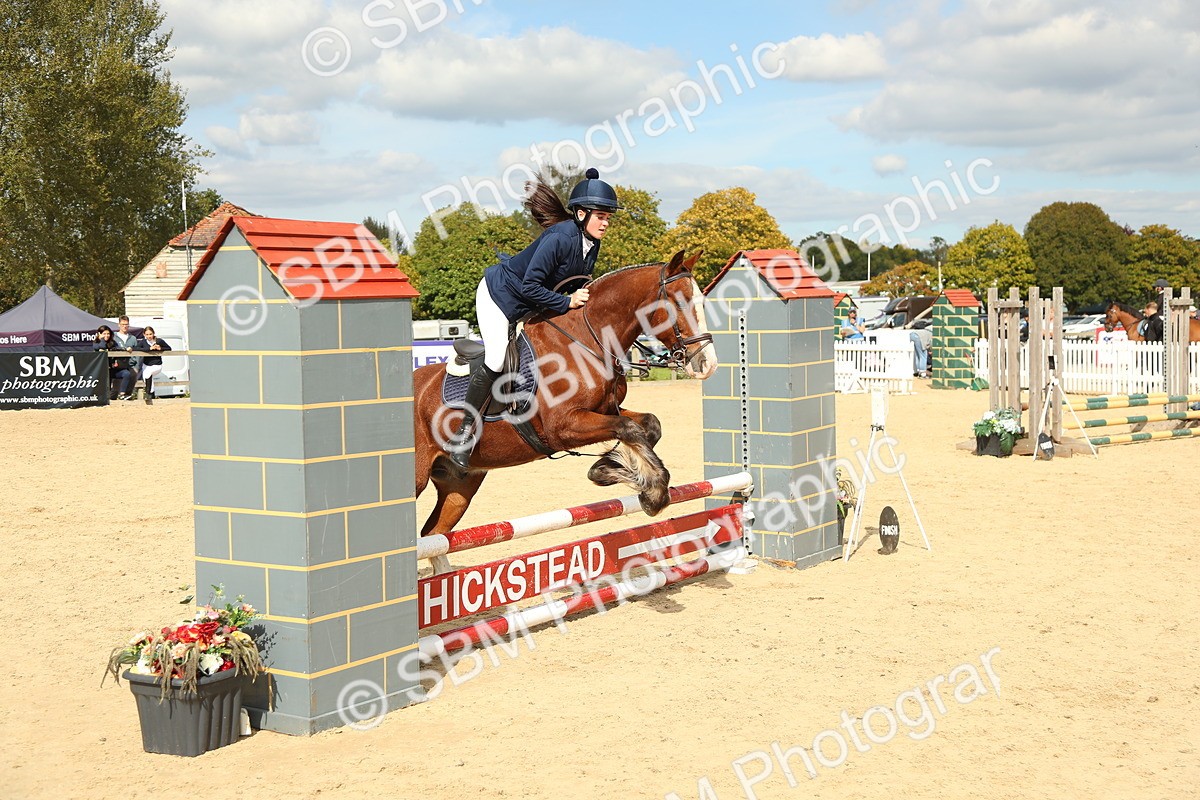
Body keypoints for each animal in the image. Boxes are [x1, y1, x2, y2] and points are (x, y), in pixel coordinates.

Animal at [412, 250, 719, 573]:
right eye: (679, 303)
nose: (707, 363)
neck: (586, 340)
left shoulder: (606, 409)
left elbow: (647, 424)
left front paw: (614, 472)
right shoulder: (563, 427)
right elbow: (628, 427)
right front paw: (654, 491)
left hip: (460, 484)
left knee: (433, 534)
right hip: (419, 478)